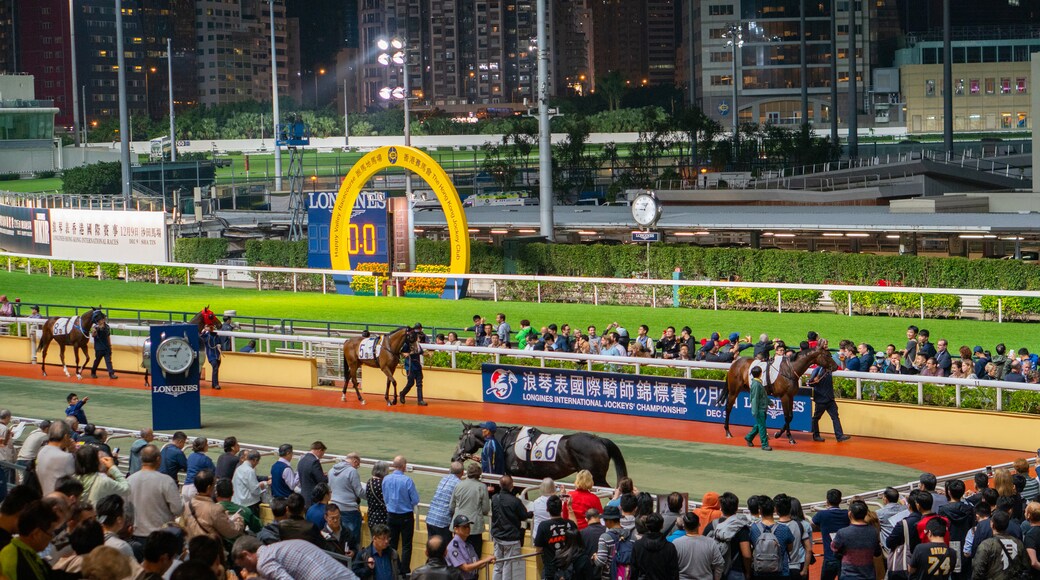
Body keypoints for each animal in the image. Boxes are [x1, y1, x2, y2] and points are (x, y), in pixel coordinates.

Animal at [453, 422, 628, 490]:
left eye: (461, 437)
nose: (454, 458)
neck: (507, 441)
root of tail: (600, 440)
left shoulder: (518, 475)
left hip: (597, 477)